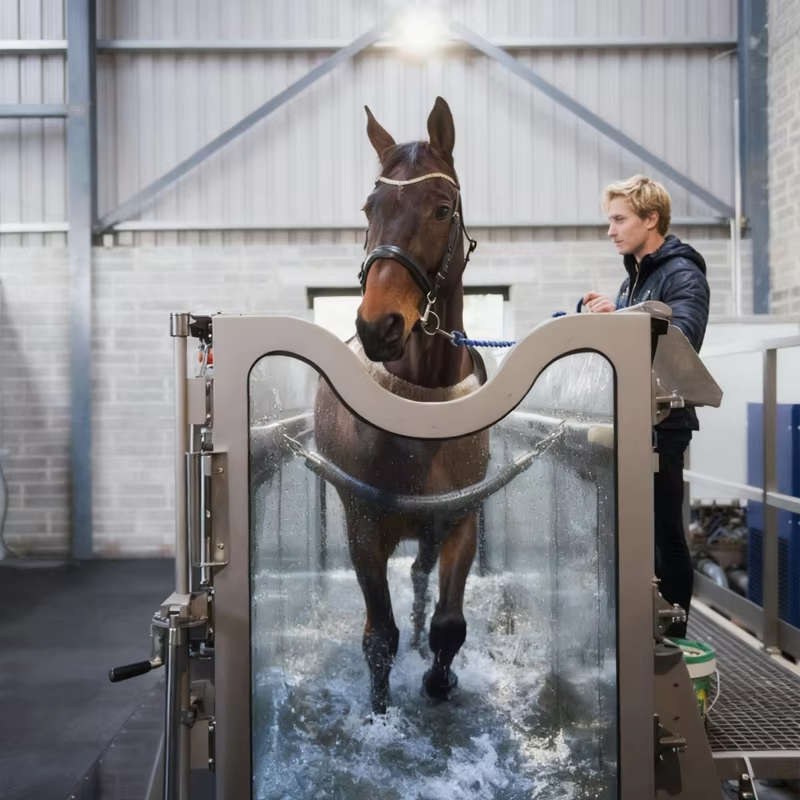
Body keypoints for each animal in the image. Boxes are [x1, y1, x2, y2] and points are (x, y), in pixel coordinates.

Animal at [313, 97, 490, 716]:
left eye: (441, 209)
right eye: (371, 208)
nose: (378, 325)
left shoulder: (461, 520)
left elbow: (450, 624)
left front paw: (439, 681)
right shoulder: (363, 529)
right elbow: (377, 636)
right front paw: (380, 712)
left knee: (417, 578)